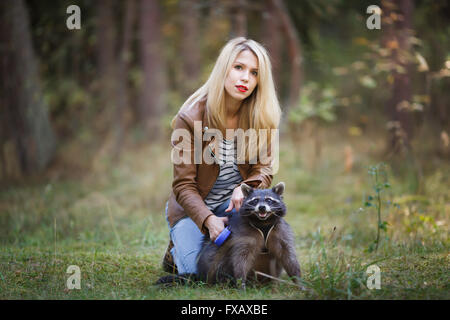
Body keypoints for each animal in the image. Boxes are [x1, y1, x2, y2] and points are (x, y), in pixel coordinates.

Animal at [156, 181, 300, 288]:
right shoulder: (242, 235)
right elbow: (240, 259)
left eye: (269, 200)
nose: (262, 208)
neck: (263, 222)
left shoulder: (280, 231)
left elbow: (288, 256)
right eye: (255, 201)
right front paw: (240, 282)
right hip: (213, 263)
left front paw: (298, 280)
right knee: (217, 257)